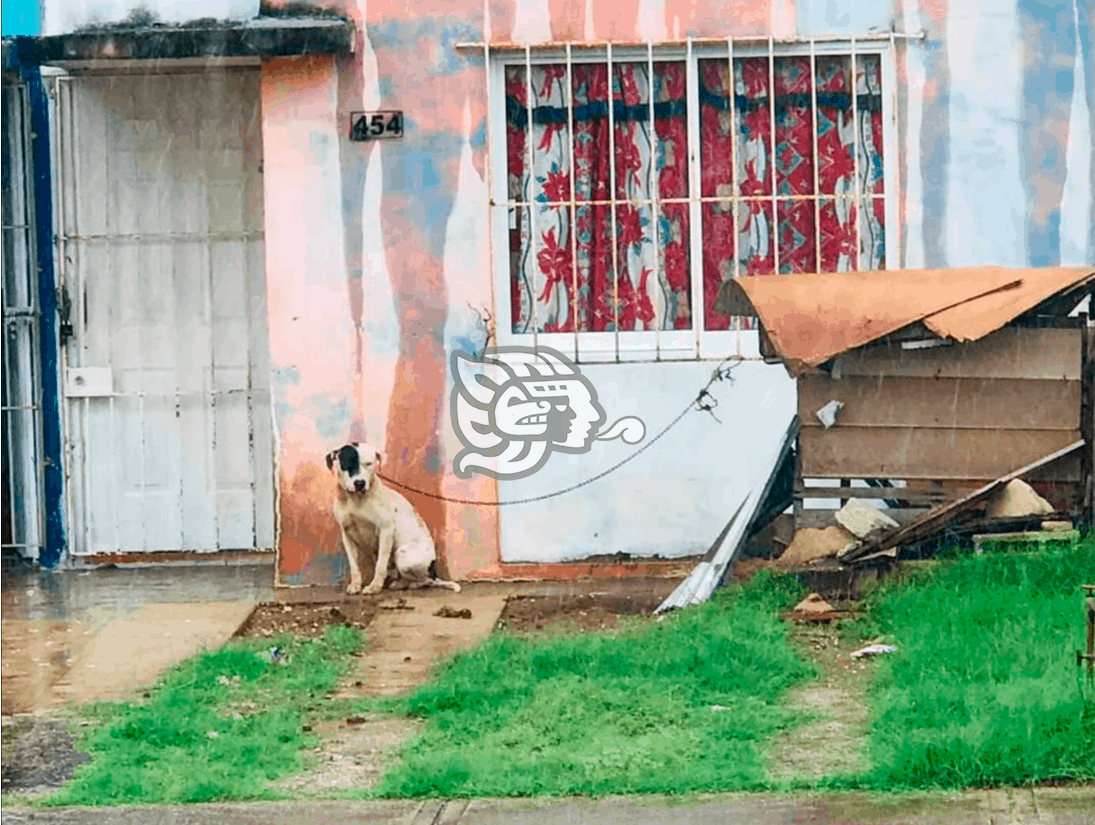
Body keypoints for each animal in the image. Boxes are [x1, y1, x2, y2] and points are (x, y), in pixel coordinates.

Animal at [324, 444, 462, 591]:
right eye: (347, 463)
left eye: (368, 464)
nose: (360, 483)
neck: (355, 499)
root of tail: (434, 573)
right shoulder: (347, 534)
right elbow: (354, 565)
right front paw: (356, 585)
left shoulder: (386, 529)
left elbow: (380, 564)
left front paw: (374, 586)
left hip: (403, 554)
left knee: (424, 581)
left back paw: (407, 584)